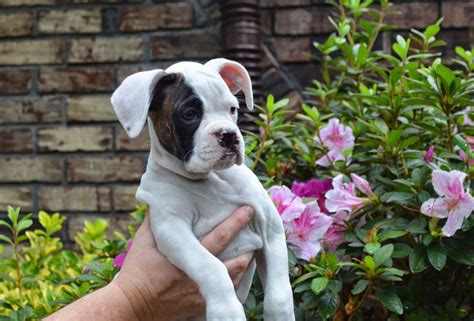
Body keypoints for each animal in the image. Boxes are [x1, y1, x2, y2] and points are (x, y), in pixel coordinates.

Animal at [112, 58, 296, 320]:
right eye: (190, 114)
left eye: (233, 109)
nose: (228, 135)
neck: (210, 178)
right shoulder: (173, 229)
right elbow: (210, 266)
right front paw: (226, 309)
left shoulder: (271, 228)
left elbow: (279, 288)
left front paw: (280, 314)